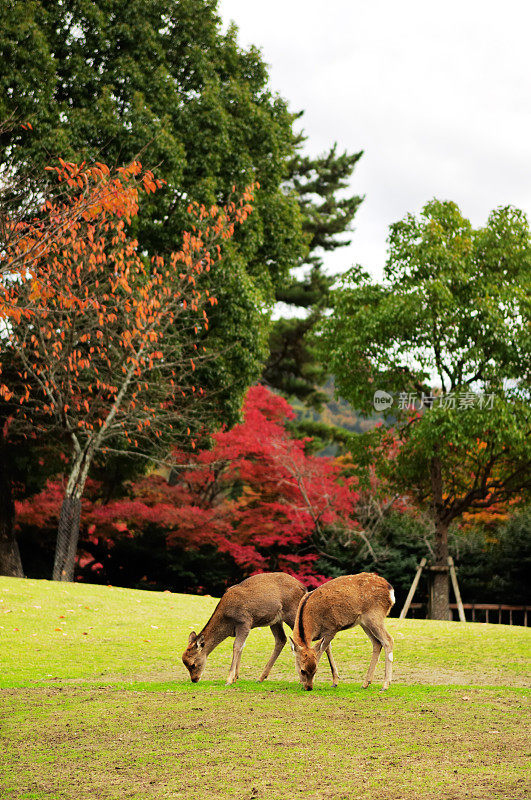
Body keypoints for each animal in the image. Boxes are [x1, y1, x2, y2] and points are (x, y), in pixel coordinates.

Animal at [183, 572, 340, 684]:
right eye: (184, 662)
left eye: (193, 664)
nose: (194, 680)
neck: (226, 622)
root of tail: (304, 588)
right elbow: (242, 646)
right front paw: (236, 677)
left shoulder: (244, 621)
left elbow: (237, 646)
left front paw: (229, 679)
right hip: (276, 621)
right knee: (281, 639)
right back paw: (261, 677)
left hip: (294, 614)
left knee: (321, 641)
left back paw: (334, 680)